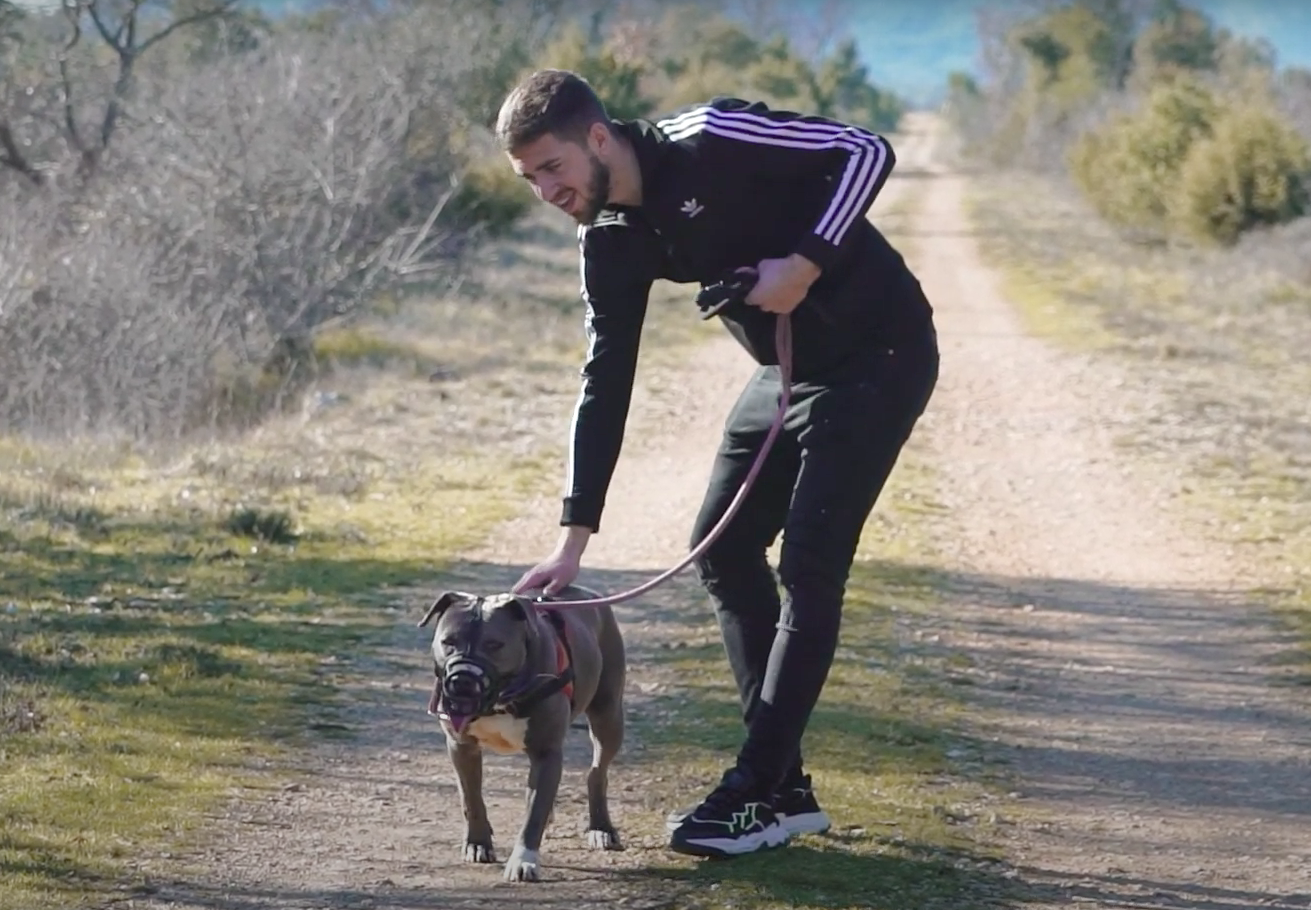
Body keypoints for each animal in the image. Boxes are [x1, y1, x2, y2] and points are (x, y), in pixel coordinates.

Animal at [416, 584, 626, 886]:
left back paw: (601, 828)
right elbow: (471, 798)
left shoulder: (546, 752)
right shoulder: (461, 746)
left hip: (607, 715)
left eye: (494, 645)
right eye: (449, 642)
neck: (500, 698)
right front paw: (477, 843)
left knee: (597, 772)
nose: (461, 680)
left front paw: (523, 860)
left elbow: (533, 814)